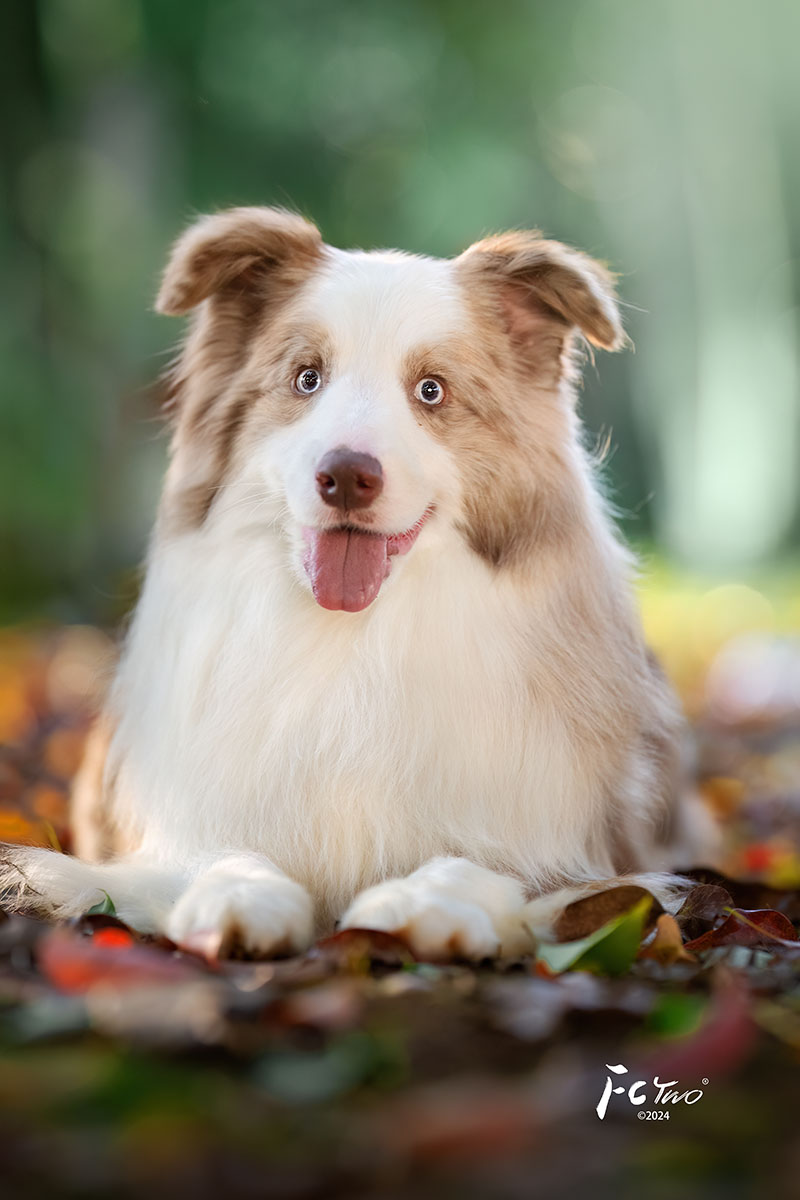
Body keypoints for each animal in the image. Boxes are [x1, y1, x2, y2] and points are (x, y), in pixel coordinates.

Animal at [0, 204, 714, 955]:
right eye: (307, 378)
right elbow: (217, 851)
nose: (345, 475)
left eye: (431, 390)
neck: (354, 636)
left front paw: (425, 898)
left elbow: (487, 861)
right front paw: (238, 896)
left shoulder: (579, 846)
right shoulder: (174, 826)